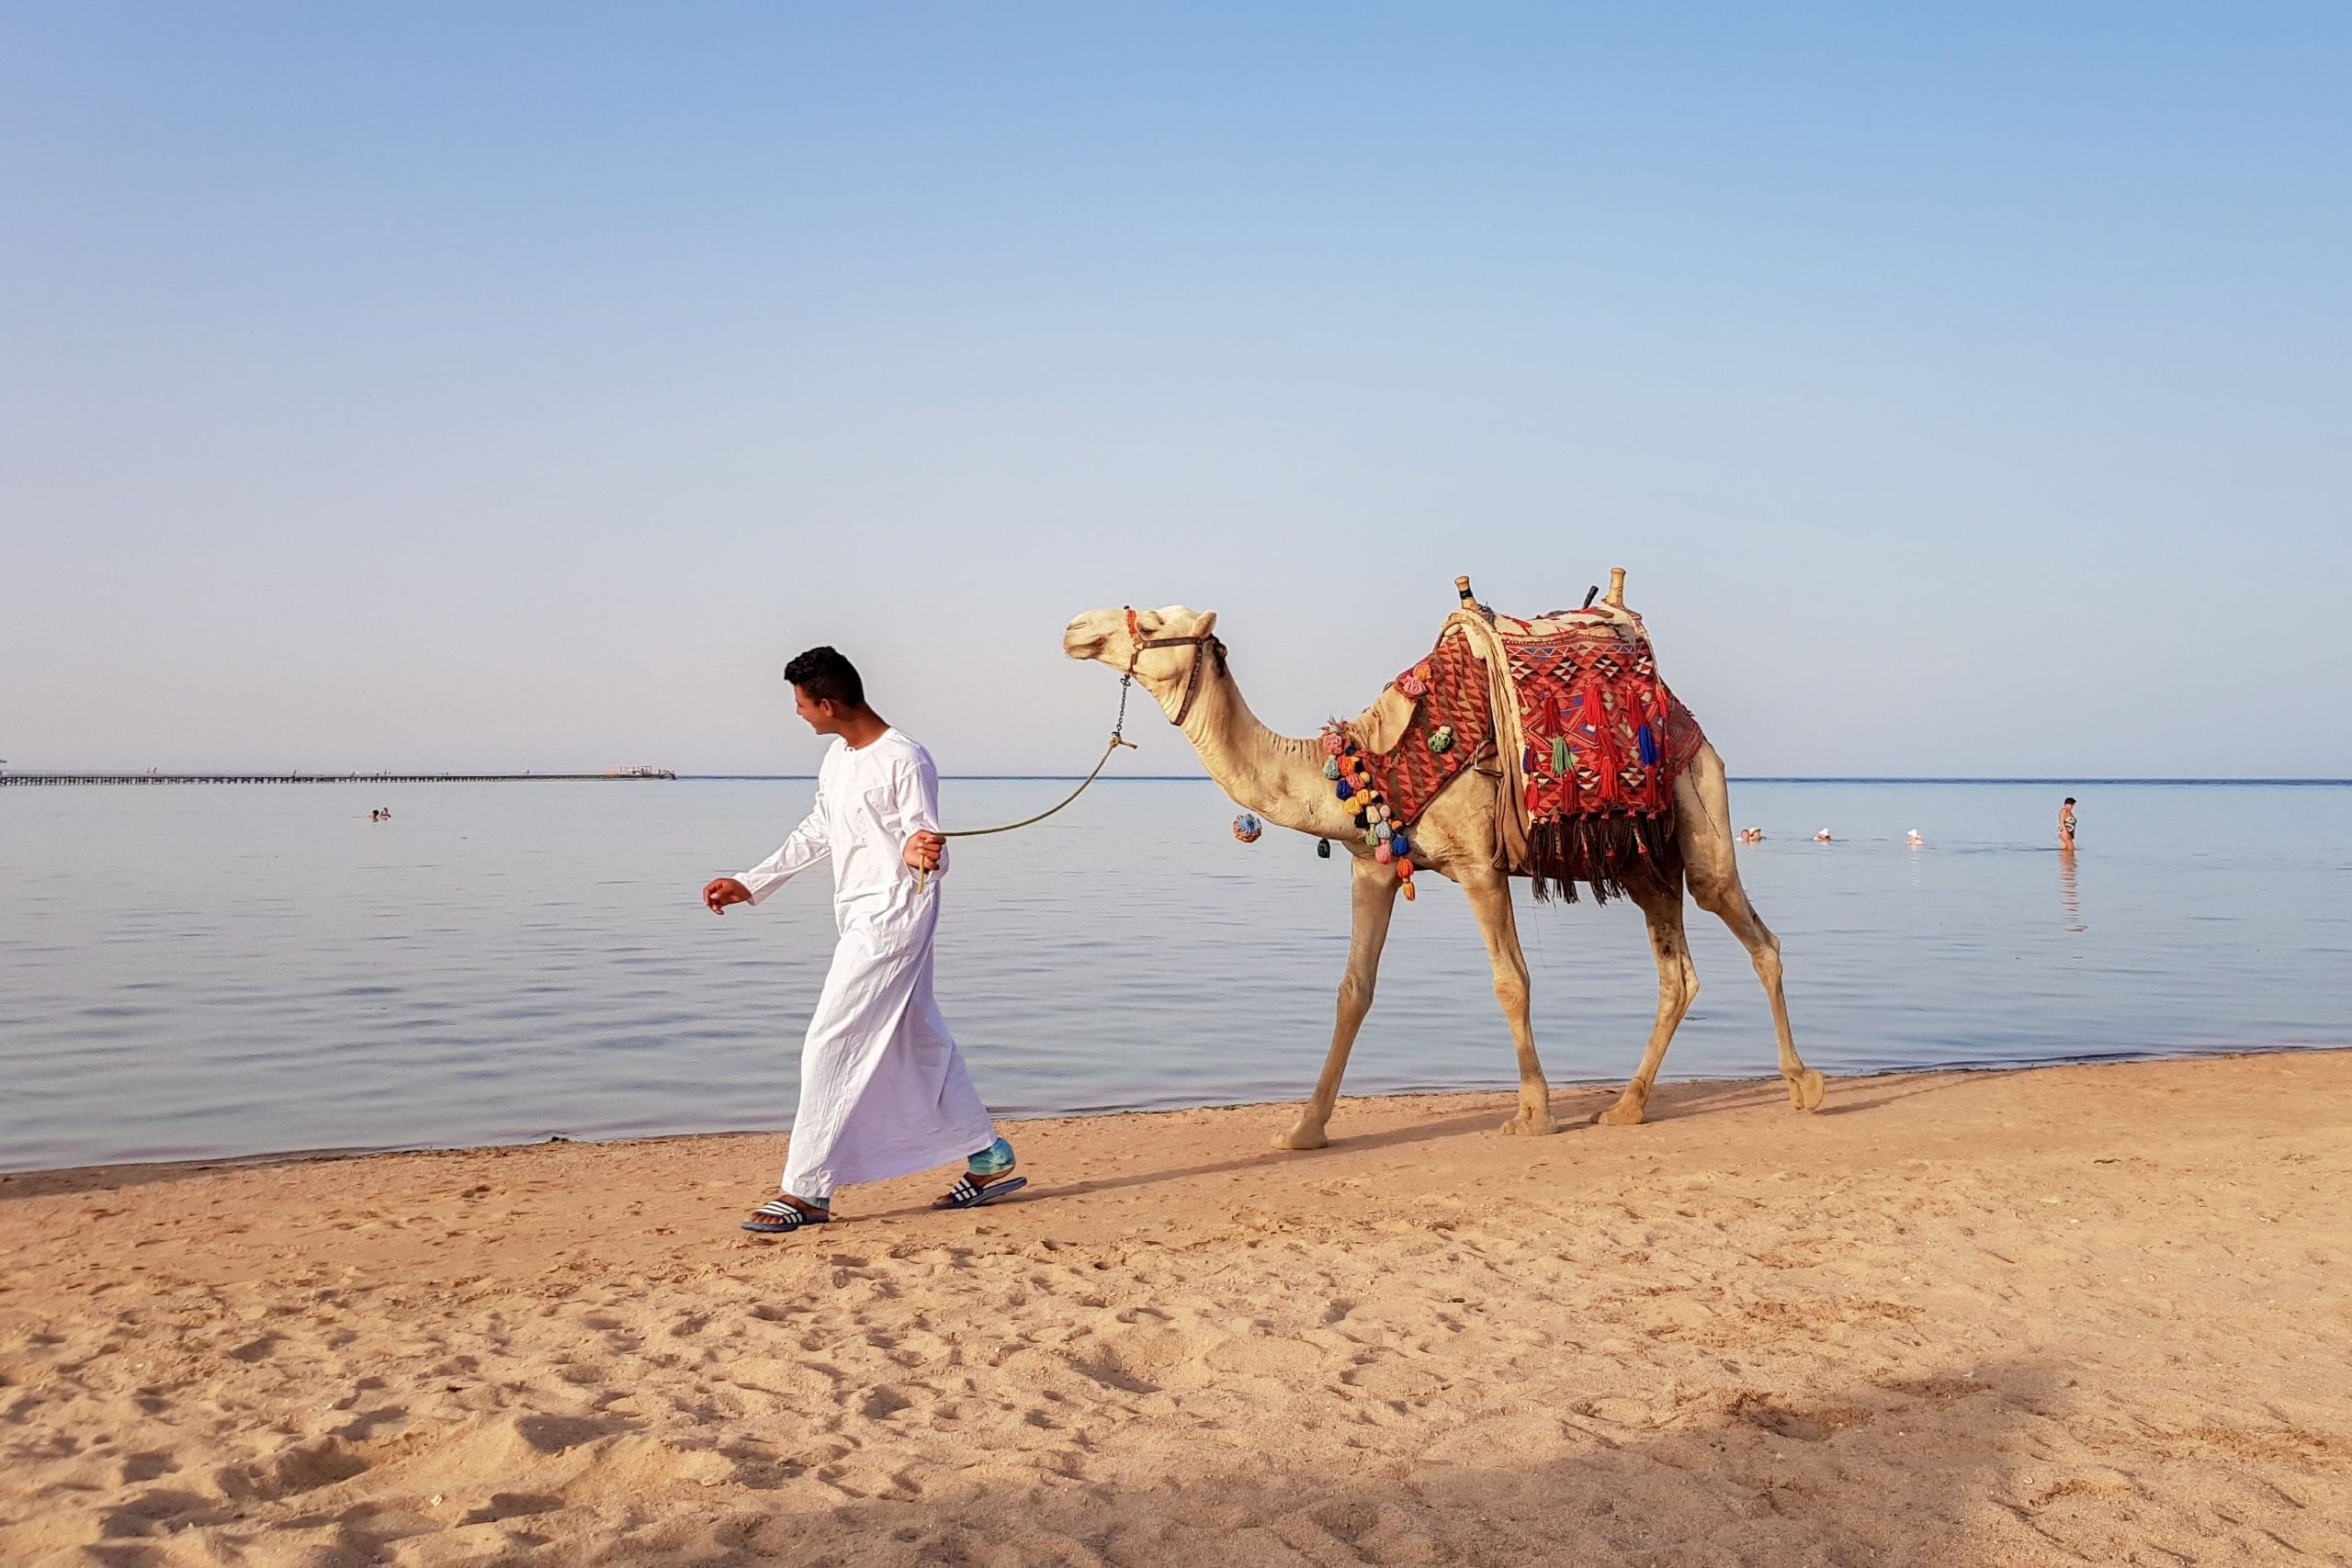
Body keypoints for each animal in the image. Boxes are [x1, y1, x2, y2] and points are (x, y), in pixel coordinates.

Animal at [1062, 588, 1827, 1150]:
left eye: (1151, 622)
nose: (1074, 627)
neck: (1368, 763)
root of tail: (1687, 719)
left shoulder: (1478, 862)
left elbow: (1511, 982)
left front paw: (1532, 1114)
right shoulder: (1372, 866)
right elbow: (1353, 992)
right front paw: (1304, 1129)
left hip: (1700, 812)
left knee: (1752, 930)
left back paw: (1803, 1083)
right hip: (1641, 860)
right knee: (1679, 974)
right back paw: (1628, 1106)